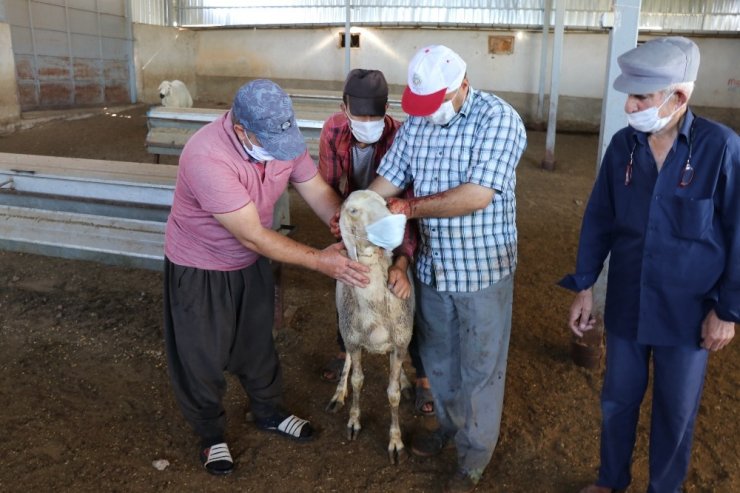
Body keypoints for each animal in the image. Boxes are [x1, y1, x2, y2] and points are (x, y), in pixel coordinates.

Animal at [326, 187, 414, 462]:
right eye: (353, 210)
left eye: (386, 203)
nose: (397, 223)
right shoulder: (353, 341)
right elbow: (357, 381)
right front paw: (354, 421)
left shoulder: (400, 343)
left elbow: (393, 393)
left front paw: (396, 442)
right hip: (345, 327)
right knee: (347, 361)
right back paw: (338, 393)